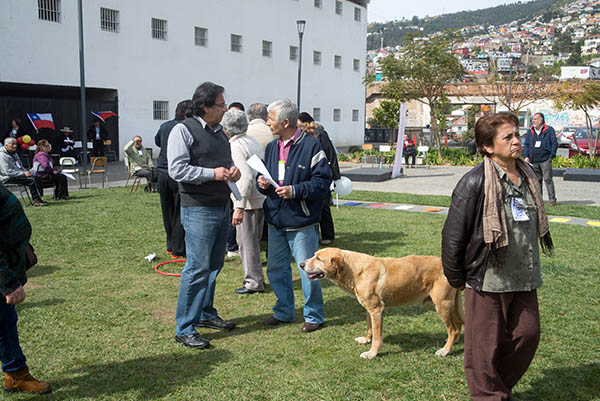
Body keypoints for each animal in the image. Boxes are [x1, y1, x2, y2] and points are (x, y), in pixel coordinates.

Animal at [300, 248, 463, 359]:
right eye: (314, 255)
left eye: (318, 258)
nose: (301, 264)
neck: (354, 270)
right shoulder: (369, 309)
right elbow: (370, 328)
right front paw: (366, 340)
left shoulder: (376, 310)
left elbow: (377, 336)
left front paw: (372, 353)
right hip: (452, 304)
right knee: (458, 325)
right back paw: (452, 342)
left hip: (442, 304)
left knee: (454, 328)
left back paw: (445, 350)